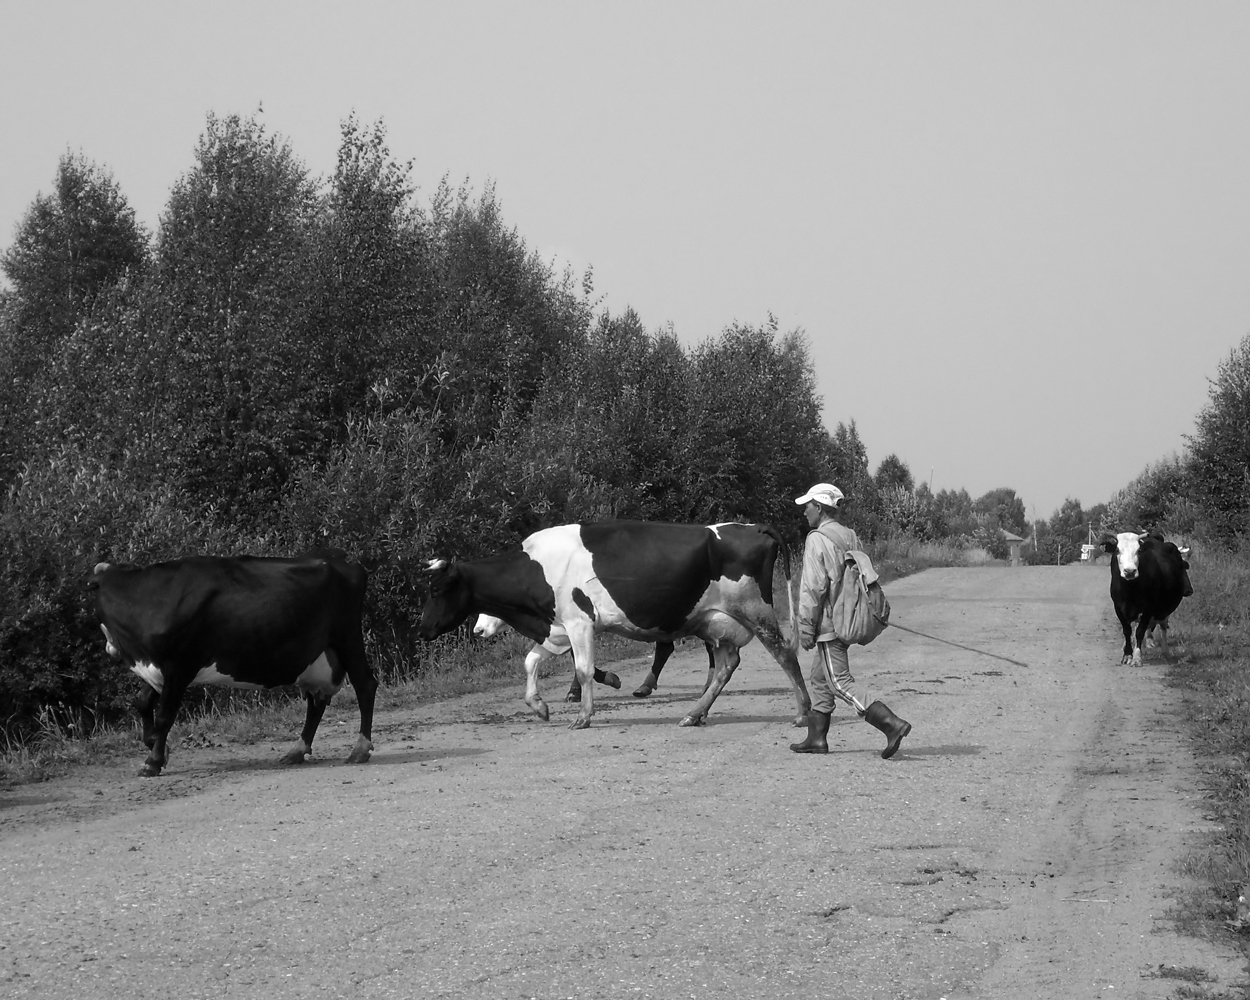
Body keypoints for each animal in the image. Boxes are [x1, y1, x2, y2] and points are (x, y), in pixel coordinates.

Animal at [88, 550, 375, 775]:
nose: (110, 648)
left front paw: (153, 761)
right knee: (316, 701)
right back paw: (297, 750)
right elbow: (142, 703)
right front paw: (155, 745)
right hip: (318, 658)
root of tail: (343, 561)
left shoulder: (180, 666)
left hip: (348, 637)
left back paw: (359, 749)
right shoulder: (158, 669)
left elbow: (164, 716)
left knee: (365, 685)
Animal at [420, 522, 810, 725]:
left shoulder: (579, 623)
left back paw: (804, 713)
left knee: (785, 656)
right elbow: (530, 662)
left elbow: (583, 670)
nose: (423, 630)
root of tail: (753, 527)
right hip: (716, 622)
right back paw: (694, 713)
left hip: (755, 610)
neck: (537, 567)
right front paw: (540, 707)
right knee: (726, 665)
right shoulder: (555, 629)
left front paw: (583, 715)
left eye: (437, 589)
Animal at [1100, 530, 1195, 665]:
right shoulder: (1118, 607)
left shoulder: (1148, 608)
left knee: (1162, 626)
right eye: (1117, 550)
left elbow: (1140, 631)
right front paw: (1127, 654)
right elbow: (1127, 630)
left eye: (1138, 551)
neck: (1130, 589)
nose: (1130, 571)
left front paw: (1137, 657)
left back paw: (1165, 651)